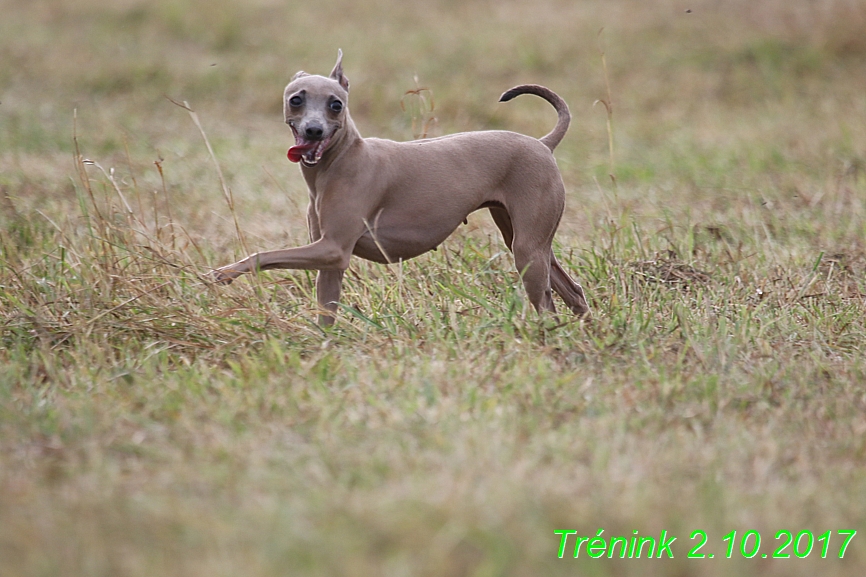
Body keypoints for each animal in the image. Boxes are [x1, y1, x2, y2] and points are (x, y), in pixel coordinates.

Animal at [216, 51, 592, 326]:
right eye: (296, 100)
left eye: (336, 104)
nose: (313, 131)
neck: (343, 159)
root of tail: (543, 144)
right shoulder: (330, 262)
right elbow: (326, 314)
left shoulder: (333, 249)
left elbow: (264, 255)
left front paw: (226, 273)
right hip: (526, 238)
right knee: (573, 291)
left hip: (527, 249)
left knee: (547, 303)